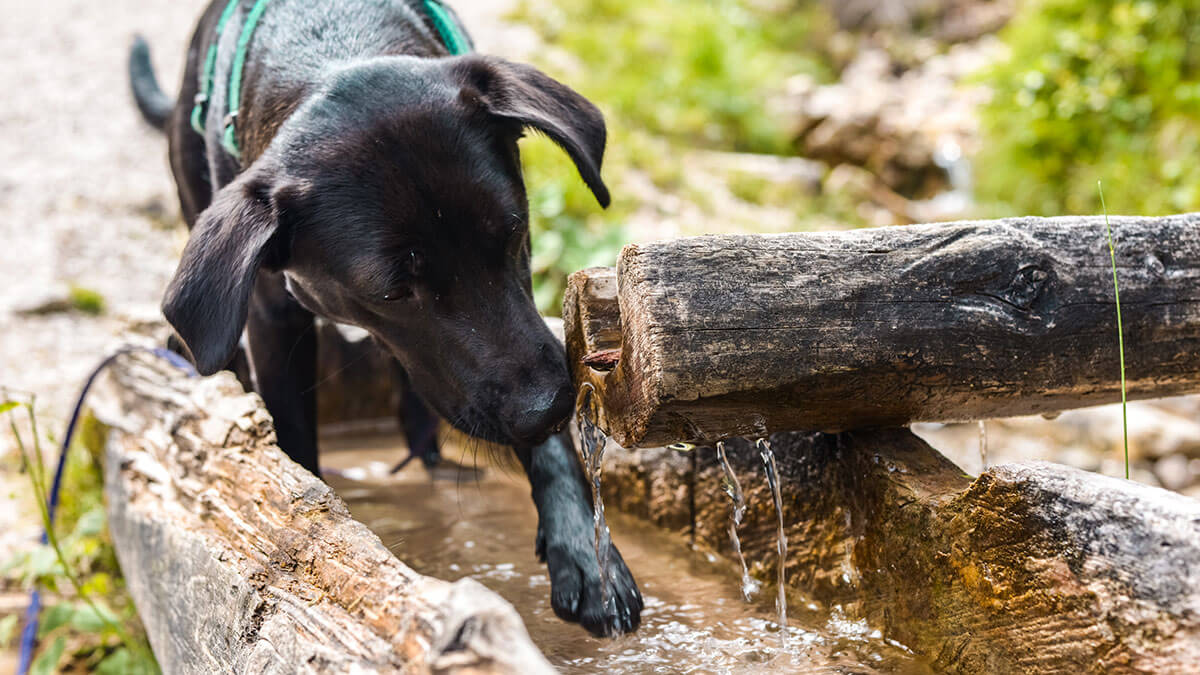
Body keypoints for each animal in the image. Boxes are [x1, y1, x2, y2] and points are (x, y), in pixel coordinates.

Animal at [129, 0, 638, 634]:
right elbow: (295, 439)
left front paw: (587, 555)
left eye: (513, 234)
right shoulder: (273, 319)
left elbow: (547, 436)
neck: (332, 40)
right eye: (394, 291)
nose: (549, 406)